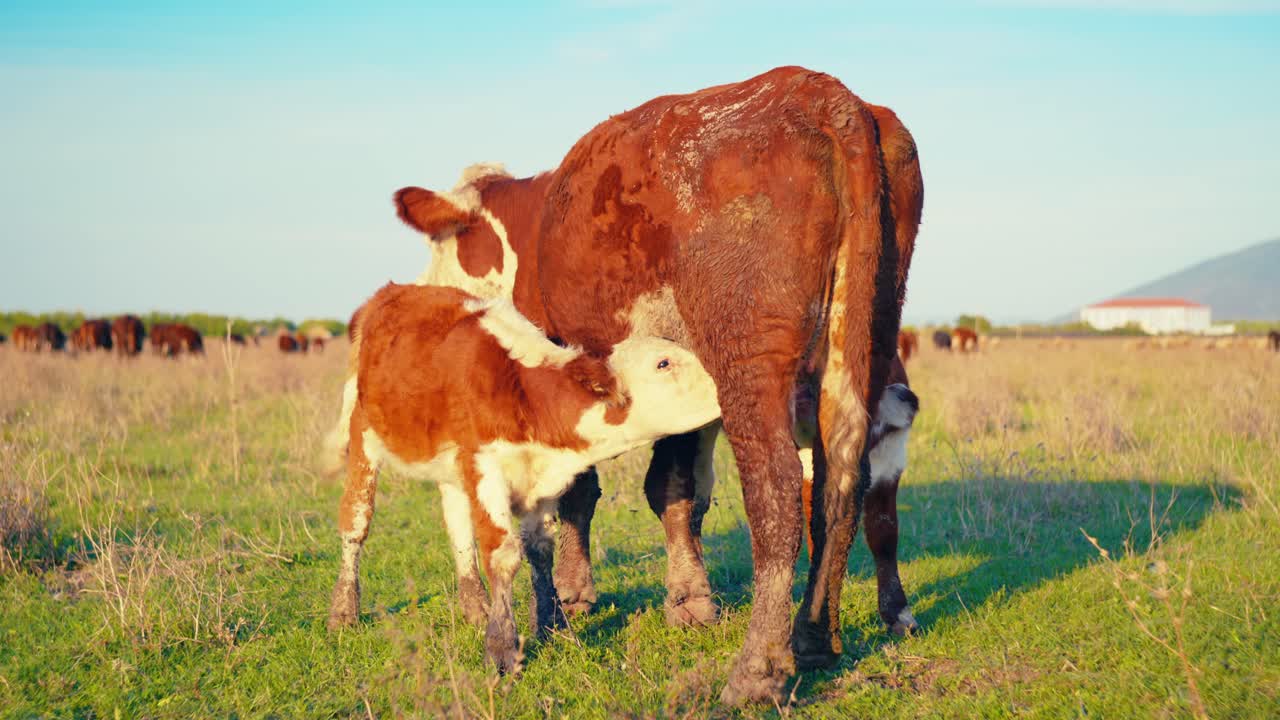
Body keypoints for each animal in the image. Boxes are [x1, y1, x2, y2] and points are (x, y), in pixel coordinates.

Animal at [322, 283, 721, 674]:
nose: (722, 383)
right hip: (363, 438)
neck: (526, 396)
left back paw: (475, 607)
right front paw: (501, 648)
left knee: (458, 527)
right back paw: (343, 610)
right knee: (356, 522)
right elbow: (503, 555)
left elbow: (540, 551)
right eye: (664, 363)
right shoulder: (486, 470)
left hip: (451, 467)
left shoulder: (540, 484)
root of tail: (390, 293)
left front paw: (553, 628)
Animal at [391, 66, 920, 701]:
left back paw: (758, 668)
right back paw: (815, 637)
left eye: (439, 244)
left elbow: (580, 490)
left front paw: (572, 595)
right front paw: (689, 597)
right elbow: (675, 487)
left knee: (777, 489)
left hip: (749, 353)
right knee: (841, 477)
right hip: (868, 336)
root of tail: (825, 94)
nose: (428, 296)